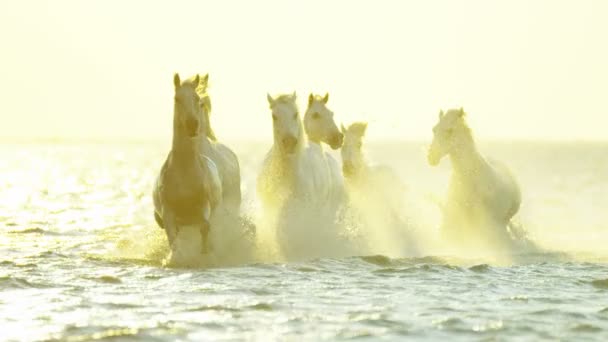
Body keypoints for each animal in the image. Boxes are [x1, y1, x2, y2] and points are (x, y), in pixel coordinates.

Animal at [154, 73, 223, 266]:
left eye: (197, 98)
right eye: (177, 98)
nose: (192, 125)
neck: (184, 171)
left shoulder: (204, 206)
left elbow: (205, 227)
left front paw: (205, 253)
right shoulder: (168, 212)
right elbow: (172, 238)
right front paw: (175, 259)